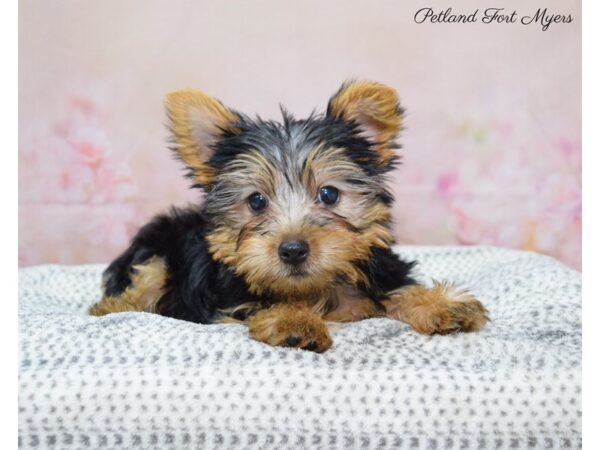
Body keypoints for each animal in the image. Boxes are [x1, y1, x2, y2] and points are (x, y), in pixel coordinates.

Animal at [90, 82, 492, 354]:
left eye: (329, 194)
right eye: (256, 201)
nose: (293, 250)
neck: (316, 285)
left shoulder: (378, 270)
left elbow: (397, 287)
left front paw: (440, 305)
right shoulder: (230, 298)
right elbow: (272, 301)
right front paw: (294, 320)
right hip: (155, 251)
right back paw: (116, 307)